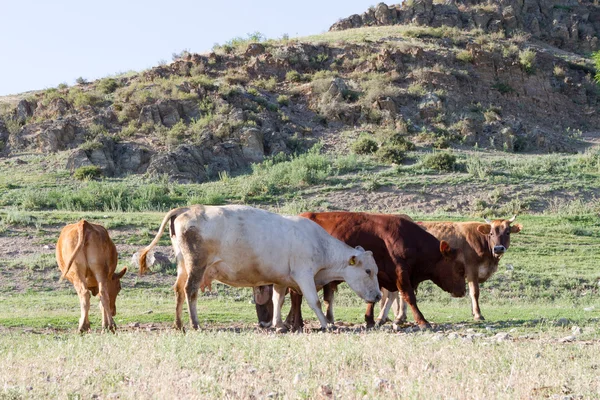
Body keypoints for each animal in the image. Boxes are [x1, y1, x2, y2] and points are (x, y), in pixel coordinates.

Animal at [138, 205, 380, 330]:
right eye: (368, 271)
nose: (378, 296)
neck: (319, 243)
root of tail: (188, 208)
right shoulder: (304, 275)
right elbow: (315, 302)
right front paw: (326, 325)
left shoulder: (282, 279)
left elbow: (277, 299)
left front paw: (278, 324)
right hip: (196, 265)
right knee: (190, 291)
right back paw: (195, 324)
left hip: (183, 265)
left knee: (178, 291)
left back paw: (179, 324)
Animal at [278, 211, 466, 330]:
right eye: (459, 269)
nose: (463, 291)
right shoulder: (401, 273)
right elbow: (409, 296)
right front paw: (422, 321)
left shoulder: (380, 275)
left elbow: (374, 297)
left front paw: (370, 320)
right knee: (296, 297)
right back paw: (297, 323)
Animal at [378, 216, 524, 322]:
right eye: (492, 233)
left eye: (507, 232)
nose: (498, 248)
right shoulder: (471, 269)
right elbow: (475, 292)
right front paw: (478, 315)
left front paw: (473, 312)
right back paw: (395, 316)